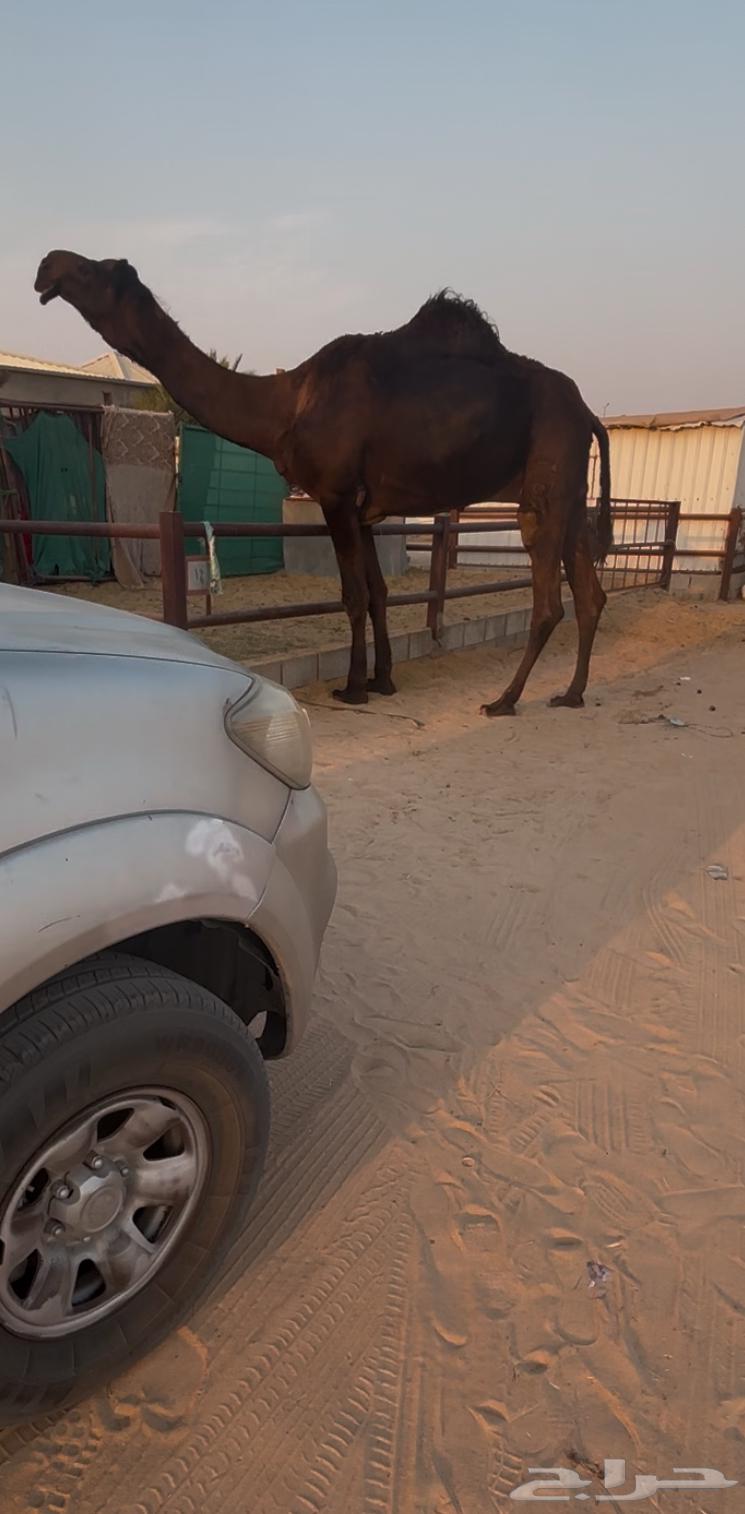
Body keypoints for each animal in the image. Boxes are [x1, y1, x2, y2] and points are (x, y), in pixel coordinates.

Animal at [35, 250, 611, 714]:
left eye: (93, 269)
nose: (47, 264)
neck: (285, 404)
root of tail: (588, 413)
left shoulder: (334, 495)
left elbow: (352, 594)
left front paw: (353, 687)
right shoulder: (364, 508)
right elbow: (378, 592)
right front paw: (383, 680)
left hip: (545, 481)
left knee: (549, 600)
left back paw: (506, 700)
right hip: (572, 494)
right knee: (590, 593)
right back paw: (572, 693)